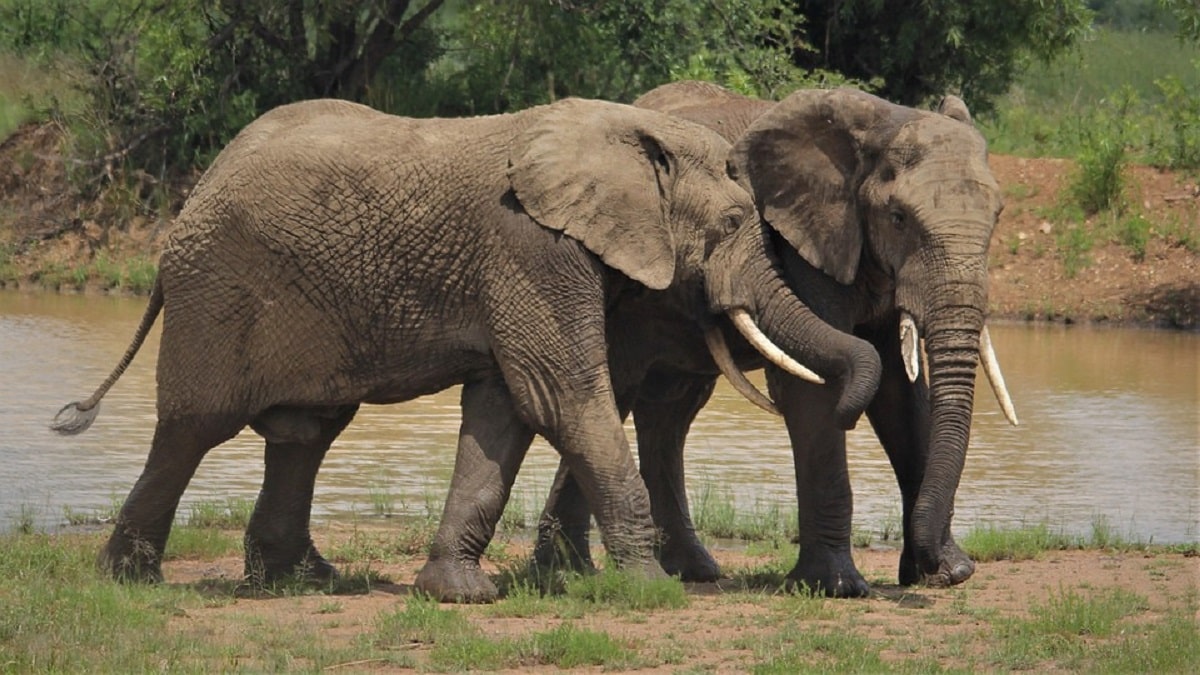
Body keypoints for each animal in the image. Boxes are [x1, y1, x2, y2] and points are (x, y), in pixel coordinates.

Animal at [49, 93, 883, 598]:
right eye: (736, 223)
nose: (846, 402)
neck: (617, 129)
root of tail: (188, 204)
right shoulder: (530, 247)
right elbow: (564, 395)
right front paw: (651, 589)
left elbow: (504, 411)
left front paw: (457, 592)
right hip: (218, 289)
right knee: (193, 427)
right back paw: (128, 580)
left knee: (305, 430)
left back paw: (303, 581)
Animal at [540, 82, 1017, 593]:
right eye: (898, 217)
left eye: (998, 215)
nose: (933, 567)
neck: (882, 124)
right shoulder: (800, 243)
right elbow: (817, 389)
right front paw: (838, 588)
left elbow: (901, 395)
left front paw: (945, 574)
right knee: (616, 393)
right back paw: (578, 571)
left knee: (668, 413)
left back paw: (689, 571)